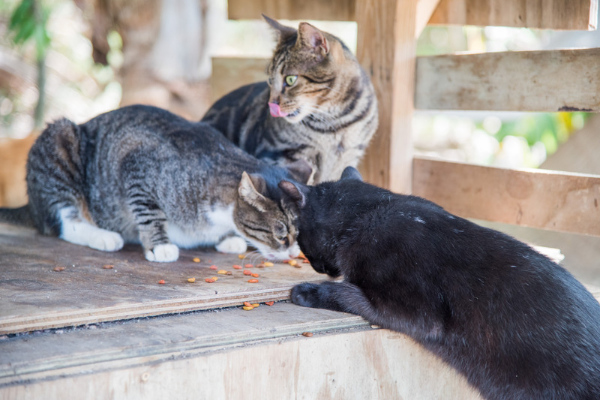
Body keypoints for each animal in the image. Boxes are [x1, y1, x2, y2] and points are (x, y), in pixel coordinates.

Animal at [0, 104, 310, 260]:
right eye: (281, 234)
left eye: (299, 233)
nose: (295, 253)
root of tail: (30, 206)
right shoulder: (136, 161)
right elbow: (149, 211)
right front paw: (159, 245)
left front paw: (229, 239)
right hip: (60, 140)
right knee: (62, 221)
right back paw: (103, 235)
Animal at [204, 15, 378, 184]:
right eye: (270, 80)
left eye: (290, 79)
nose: (271, 104)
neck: (335, 122)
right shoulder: (279, 154)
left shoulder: (349, 157)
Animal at [280, 166, 600, 400]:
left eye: (298, 236)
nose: (315, 266)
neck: (375, 209)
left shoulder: (419, 312)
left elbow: (349, 294)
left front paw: (308, 291)